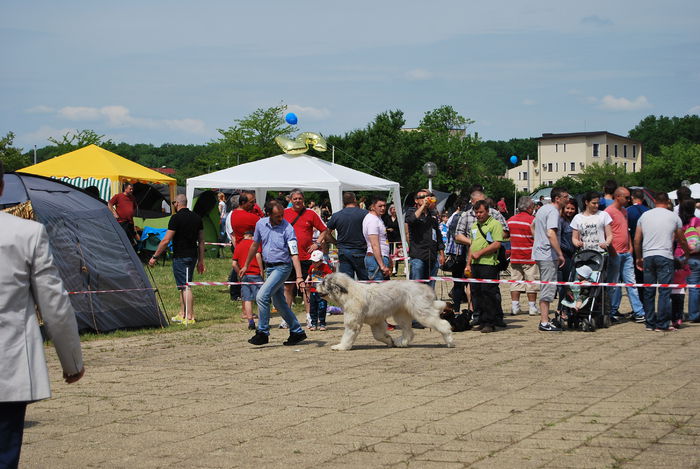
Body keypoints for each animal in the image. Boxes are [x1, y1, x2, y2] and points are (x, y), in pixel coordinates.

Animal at [316, 270, 456, 352]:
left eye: (323, 283)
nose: (315, 285)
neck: (348, 293)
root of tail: (425, 288)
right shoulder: (376, 322)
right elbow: (378, 335)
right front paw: (389, 341)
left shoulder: (353, 321)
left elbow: (348, 335)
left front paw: (341, 347)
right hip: (401, 314)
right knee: (409, 332)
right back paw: (401, 343)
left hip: (421, 312)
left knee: (443, 324)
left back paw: (449, 341)